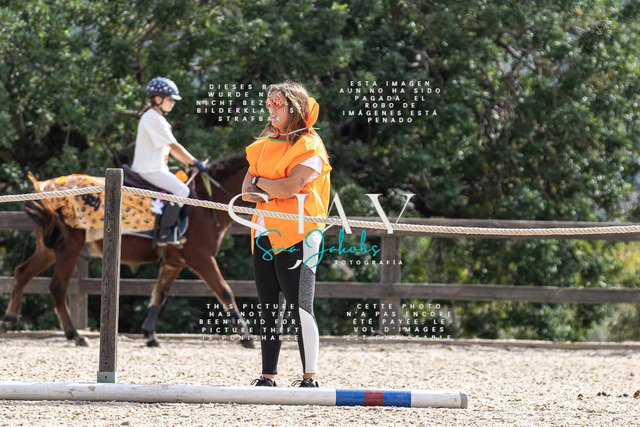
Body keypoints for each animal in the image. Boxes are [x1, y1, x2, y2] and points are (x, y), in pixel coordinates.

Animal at [0, 154, 254, 348]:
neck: (205, 202)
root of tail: (47, 188)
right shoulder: (201, 258)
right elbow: (225, 291)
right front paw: (246, 336)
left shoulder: (174, 261)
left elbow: (160, 293)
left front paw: (150, 333)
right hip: (69, 248)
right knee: (57, 287)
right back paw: (75, 334)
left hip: (50, 249)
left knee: (22, 273)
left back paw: (9, 320)